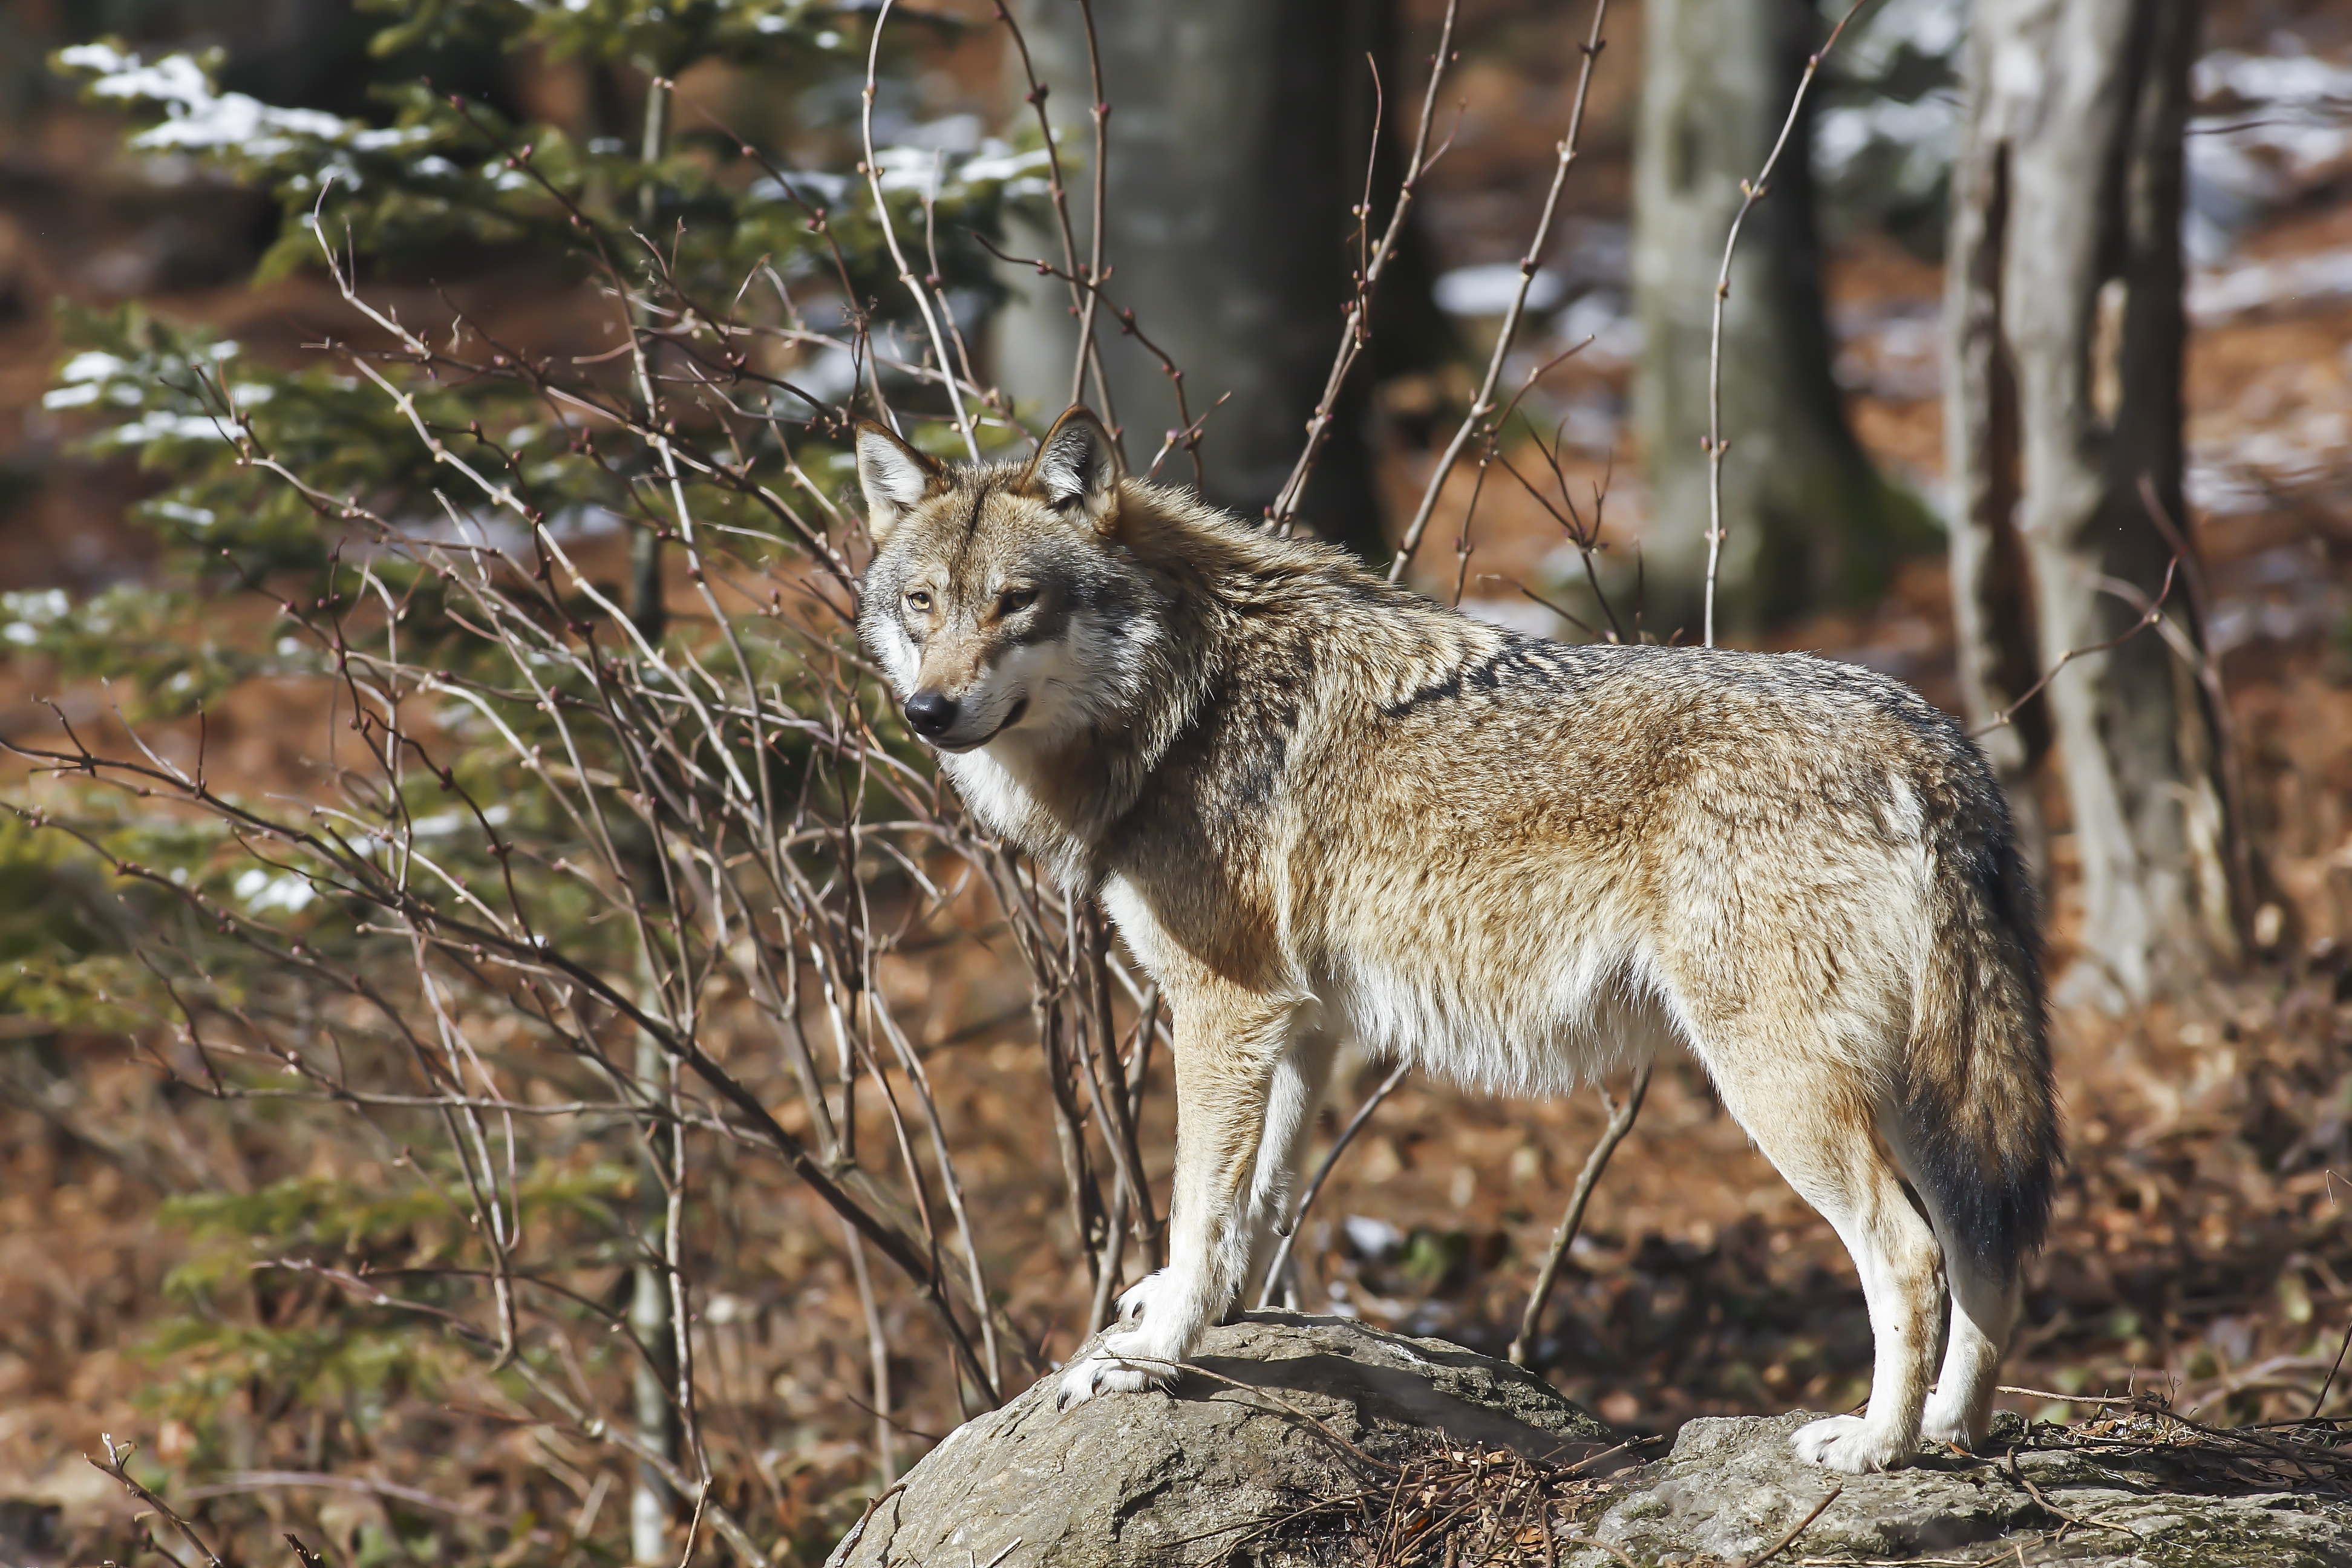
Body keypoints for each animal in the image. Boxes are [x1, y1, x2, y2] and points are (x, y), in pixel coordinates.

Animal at [856, 404, 2051, 1476]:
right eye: (923, 604)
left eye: (1016, 602)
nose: (927, 712)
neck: (1180, 701)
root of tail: (1934, 741)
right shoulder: (1300, 1025)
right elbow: (1258, 1203)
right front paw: (1211, 1313)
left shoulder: (1223, 1009)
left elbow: (1200, 1204)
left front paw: (1148, 1355)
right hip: (1919, 1089)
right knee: (1987, 1249)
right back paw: (1953, 1432)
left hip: (1780, 1085)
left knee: (1909, 1256)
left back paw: (1876, 1445)